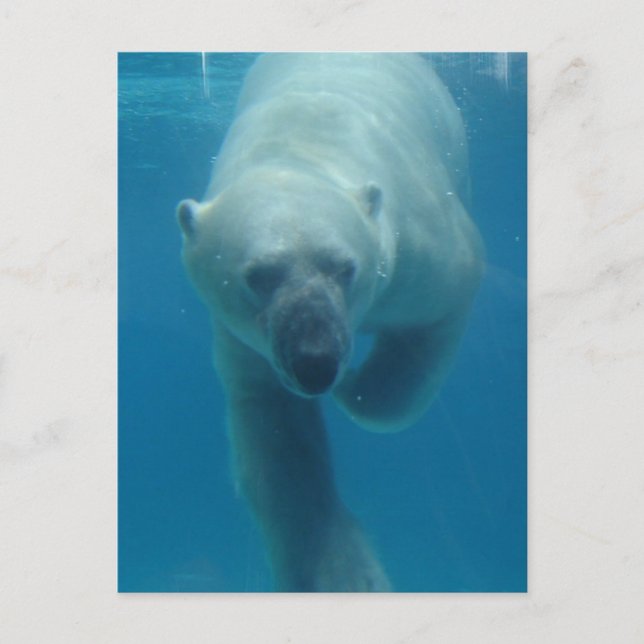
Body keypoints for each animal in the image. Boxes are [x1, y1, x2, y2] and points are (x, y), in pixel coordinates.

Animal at [177, 53, 484, 592]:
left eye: (345, 268)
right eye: (257, 276)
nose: (317, 363)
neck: (298, 147)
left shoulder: (422, 247)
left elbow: (429, 335)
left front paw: (357, 389)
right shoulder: (244, 338)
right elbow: (279, 442)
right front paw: (345, 578)